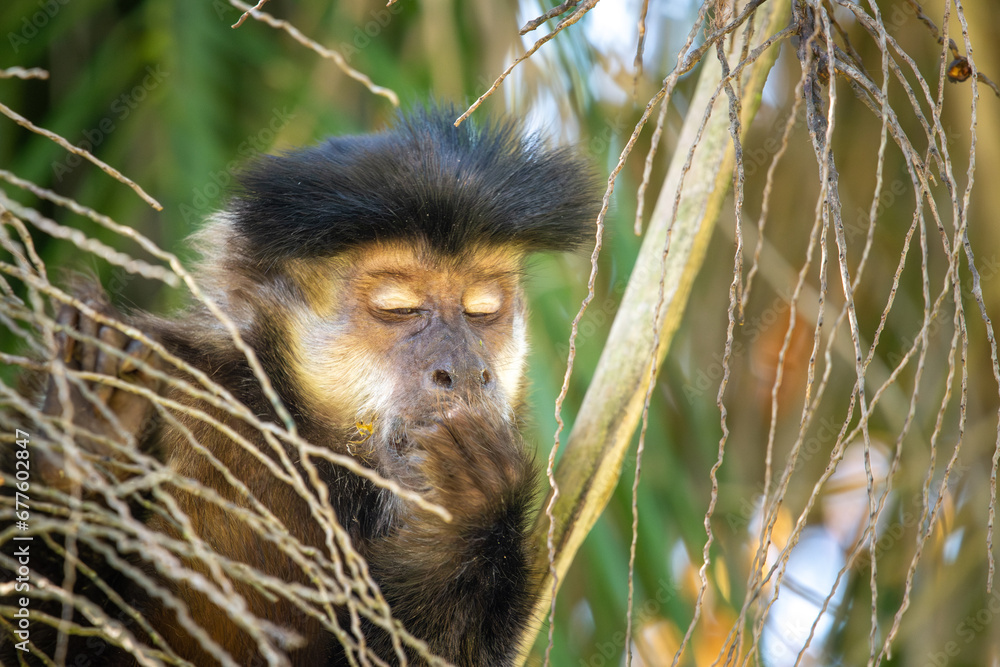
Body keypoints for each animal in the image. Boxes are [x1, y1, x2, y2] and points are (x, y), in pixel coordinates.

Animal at [1, 106, 599, 666]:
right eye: (400, 309)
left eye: (481, 312)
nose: (467, 370)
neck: (294, 435)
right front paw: (84, 443)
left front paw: (470, 511)